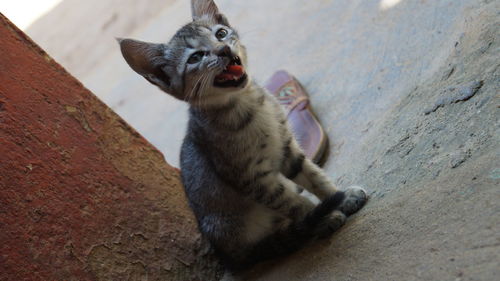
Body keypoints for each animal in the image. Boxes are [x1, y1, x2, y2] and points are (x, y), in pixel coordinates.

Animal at [118, 0, 368, 272]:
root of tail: (230, 256)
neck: (250, 106)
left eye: (220, 33)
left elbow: (315, 177)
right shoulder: (253, 178)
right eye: (195, 57)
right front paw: (324, 214)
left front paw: (340, 196)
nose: (224, 49)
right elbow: (294, 204)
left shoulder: (287, 148)